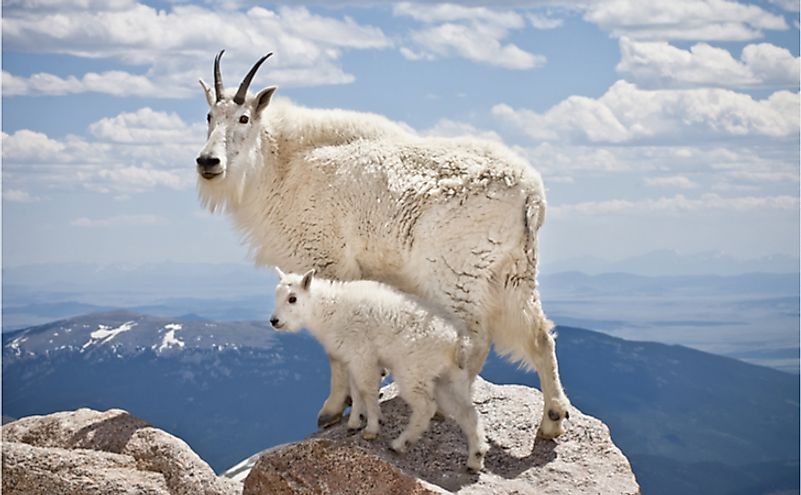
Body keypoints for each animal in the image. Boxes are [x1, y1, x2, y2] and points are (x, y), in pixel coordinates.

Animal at [194, 52, 568, 440]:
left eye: (243, 117)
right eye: (208, 116)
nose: (208, 162)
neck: (283, 165)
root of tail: (532, 194)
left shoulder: (327, 261)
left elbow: (335, 348)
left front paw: (332, 410)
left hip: (455, 270)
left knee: (476, 337)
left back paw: (445, 407)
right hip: (512, 270)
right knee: (540, 333)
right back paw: (552, 419)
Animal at [268, 270, 488, 470]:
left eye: (292, 298)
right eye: (276, 295)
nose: (274, 321)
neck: (328, 310)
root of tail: (458, 341)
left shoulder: (362, 357)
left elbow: (367, 391)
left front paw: (372, 428)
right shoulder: (352, 359)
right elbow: (356, 390)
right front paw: (355, 422)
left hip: (412, 372)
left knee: (426, 407)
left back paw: (400, 443)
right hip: (450, 377)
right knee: (467, 412)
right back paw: (475, 459)